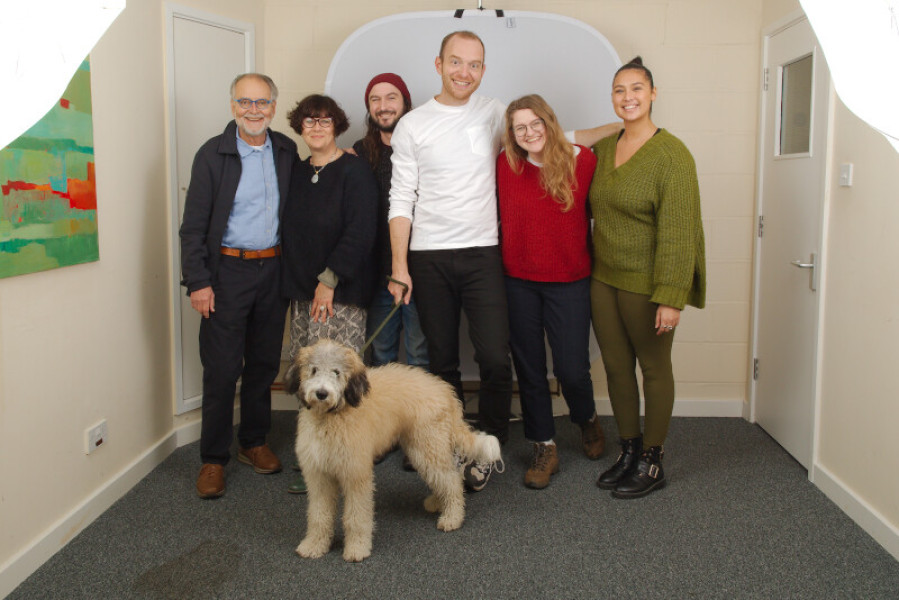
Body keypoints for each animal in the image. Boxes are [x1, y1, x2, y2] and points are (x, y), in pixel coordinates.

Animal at [284, 342, 502, 564]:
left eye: (336, 372)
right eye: (313, 370)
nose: (321, 393)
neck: (333, 416)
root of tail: (446, 390)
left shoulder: (356, 475)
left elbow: (356, 516)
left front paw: (357, 548)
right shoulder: (319, 476)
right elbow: (318, 515)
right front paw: (314, 545)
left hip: (428, 447)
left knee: (452, 480)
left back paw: (452, 518)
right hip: (422, 448)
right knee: (444, 477)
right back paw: (438, 503)